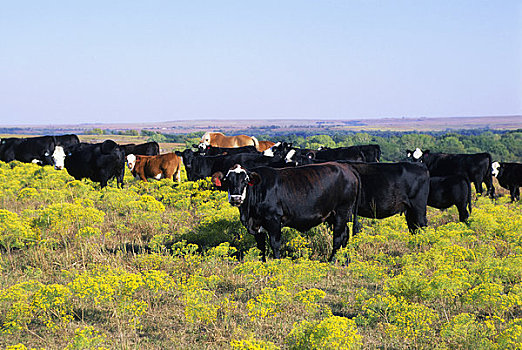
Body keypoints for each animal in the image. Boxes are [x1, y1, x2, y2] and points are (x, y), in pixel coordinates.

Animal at [209, 163, 360, 262]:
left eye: (245, 181)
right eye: (227, 180)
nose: (236, 198)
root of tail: (347, 168)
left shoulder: (274, 219)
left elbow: (275, 244)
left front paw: (277, 263)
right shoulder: (257, 224)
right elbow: (261, 247)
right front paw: (263, 264)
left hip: (342, 211)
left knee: (338, 237)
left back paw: (332, 260)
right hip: (332, 215)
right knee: (345, 234)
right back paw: (344, 259)